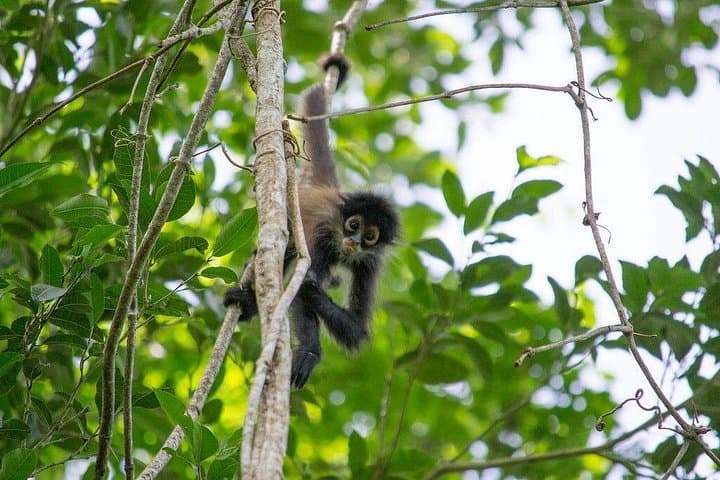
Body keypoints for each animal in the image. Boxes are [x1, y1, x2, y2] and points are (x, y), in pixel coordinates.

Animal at [224, 54, 399, 389]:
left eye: (370, 236)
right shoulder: (320, 235)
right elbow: (299, 292)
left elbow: (355, 329)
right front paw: (309, 351)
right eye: (353, 225)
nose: (353, 241)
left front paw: (312, 288)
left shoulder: (370, 263)